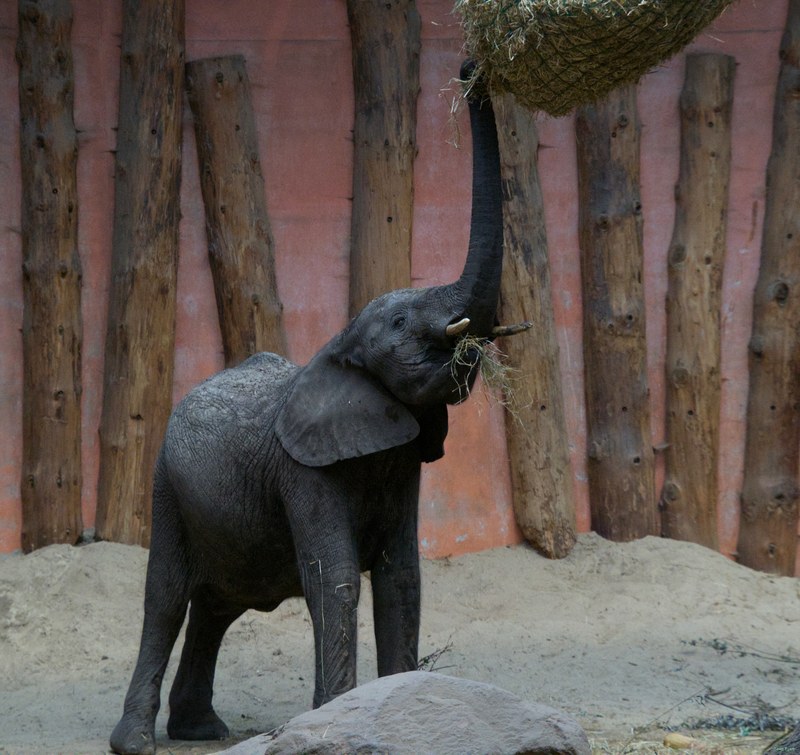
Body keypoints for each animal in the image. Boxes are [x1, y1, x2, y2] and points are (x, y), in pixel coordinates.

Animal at [110, 63, 513, 755]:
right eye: (399, 323)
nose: (468, 68)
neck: (336, 346)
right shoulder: (302, 470)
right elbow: (337, 577)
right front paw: (338, 717)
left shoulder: (402, 462)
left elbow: (402, 580)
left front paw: (398, 706)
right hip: (164, 482)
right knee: (165, 596)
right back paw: (138, 742)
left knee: (217, 602)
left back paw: (201, 730)